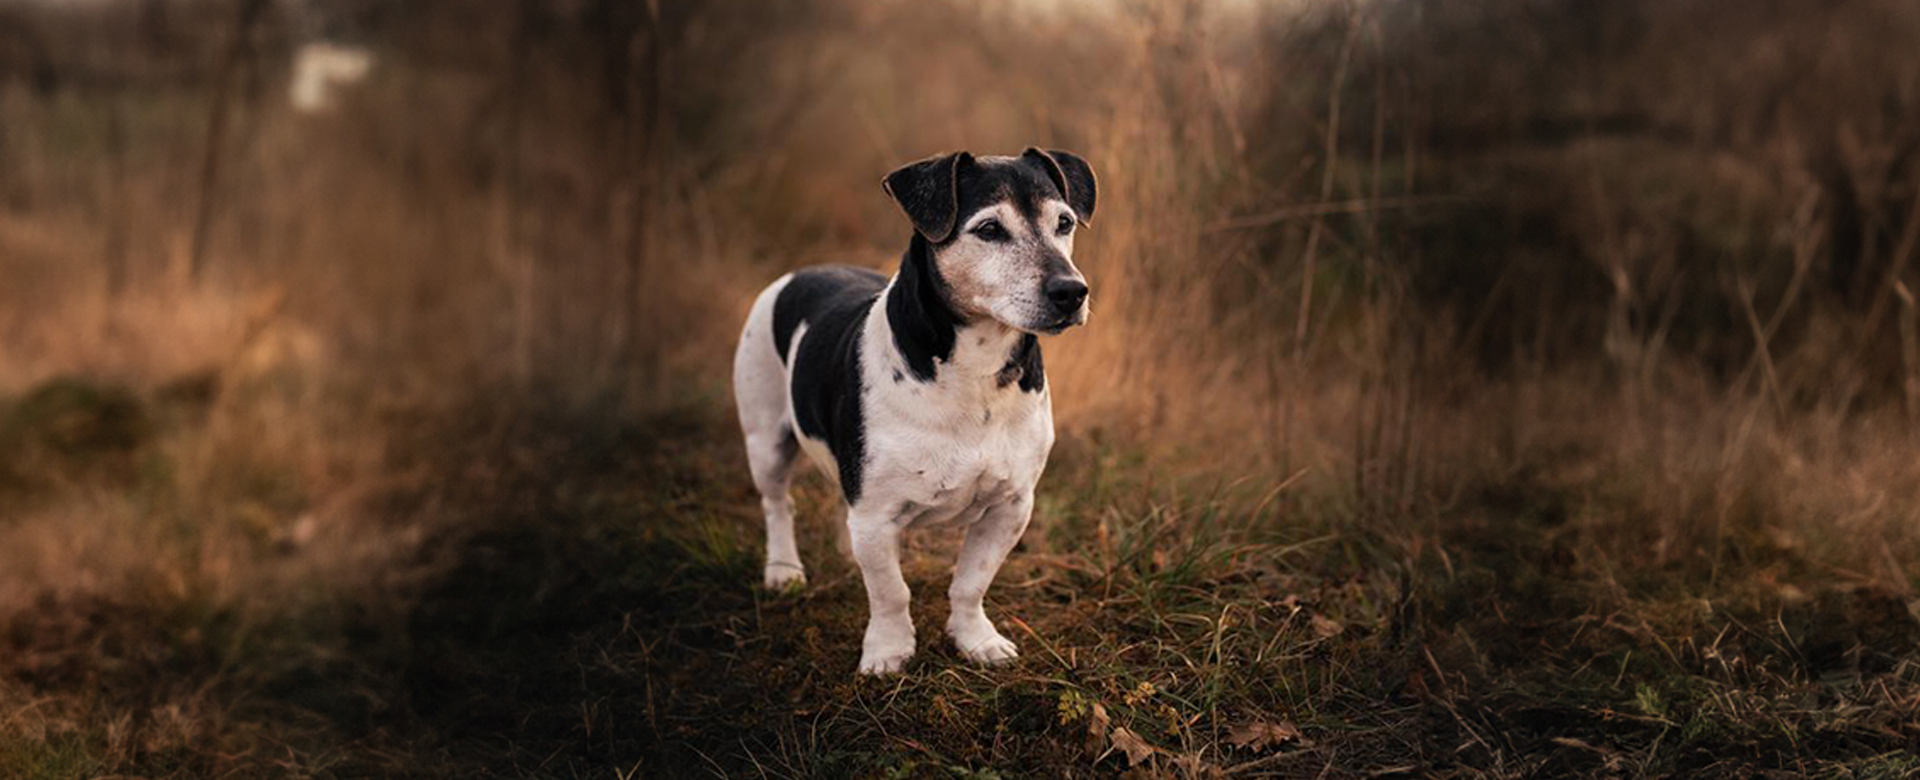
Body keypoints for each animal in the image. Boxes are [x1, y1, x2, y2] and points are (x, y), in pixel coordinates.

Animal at [729, 148, 1098, 672]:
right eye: (989, 229)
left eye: (1064, 222)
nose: (1071, 291)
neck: (975, 370)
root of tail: (804, 270)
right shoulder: (875, 514)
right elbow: (890, 592)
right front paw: (888, 650)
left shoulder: (1011, 506)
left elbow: (971, 582)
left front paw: (976, 639)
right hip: (766, 441)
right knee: (778, 504)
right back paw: (783, 569)